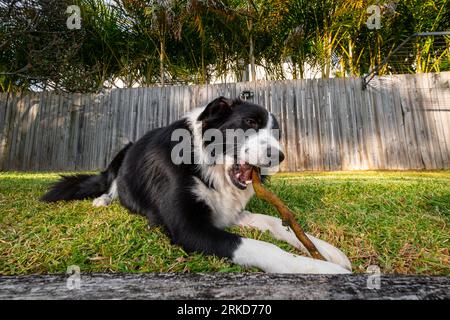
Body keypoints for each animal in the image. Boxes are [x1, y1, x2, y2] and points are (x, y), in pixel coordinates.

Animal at [41, 96, 352, 274]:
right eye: (250, 122)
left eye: (276, 134)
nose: (280, 156)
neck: (206, 164)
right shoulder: (188, 229)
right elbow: (261, 247)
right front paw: (318, 268)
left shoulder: (229, 212)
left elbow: (277, 222)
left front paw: (327, 251)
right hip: (120, 155)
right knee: (110, 184)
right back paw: (102, 200)